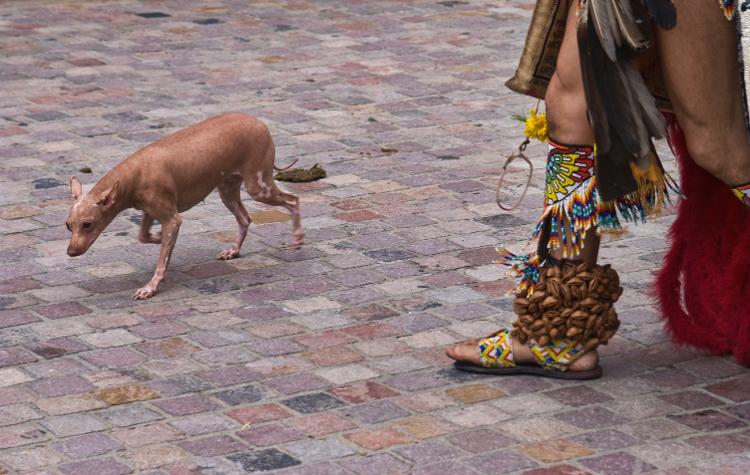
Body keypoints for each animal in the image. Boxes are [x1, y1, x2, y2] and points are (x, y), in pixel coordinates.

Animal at [65, 113, 306, 300]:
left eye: (87, 224)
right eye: (68, 225)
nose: (70, 252)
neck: (136, 173)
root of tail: (258, 121)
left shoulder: (172, 218)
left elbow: (161, 260)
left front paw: (150, 287)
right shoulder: (150, 212)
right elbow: (143, 236)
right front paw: (158, 237)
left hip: (258, 187)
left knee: (293, 200)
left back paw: (297, 239)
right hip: (227, 190)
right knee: (245, 219)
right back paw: (234, 251)